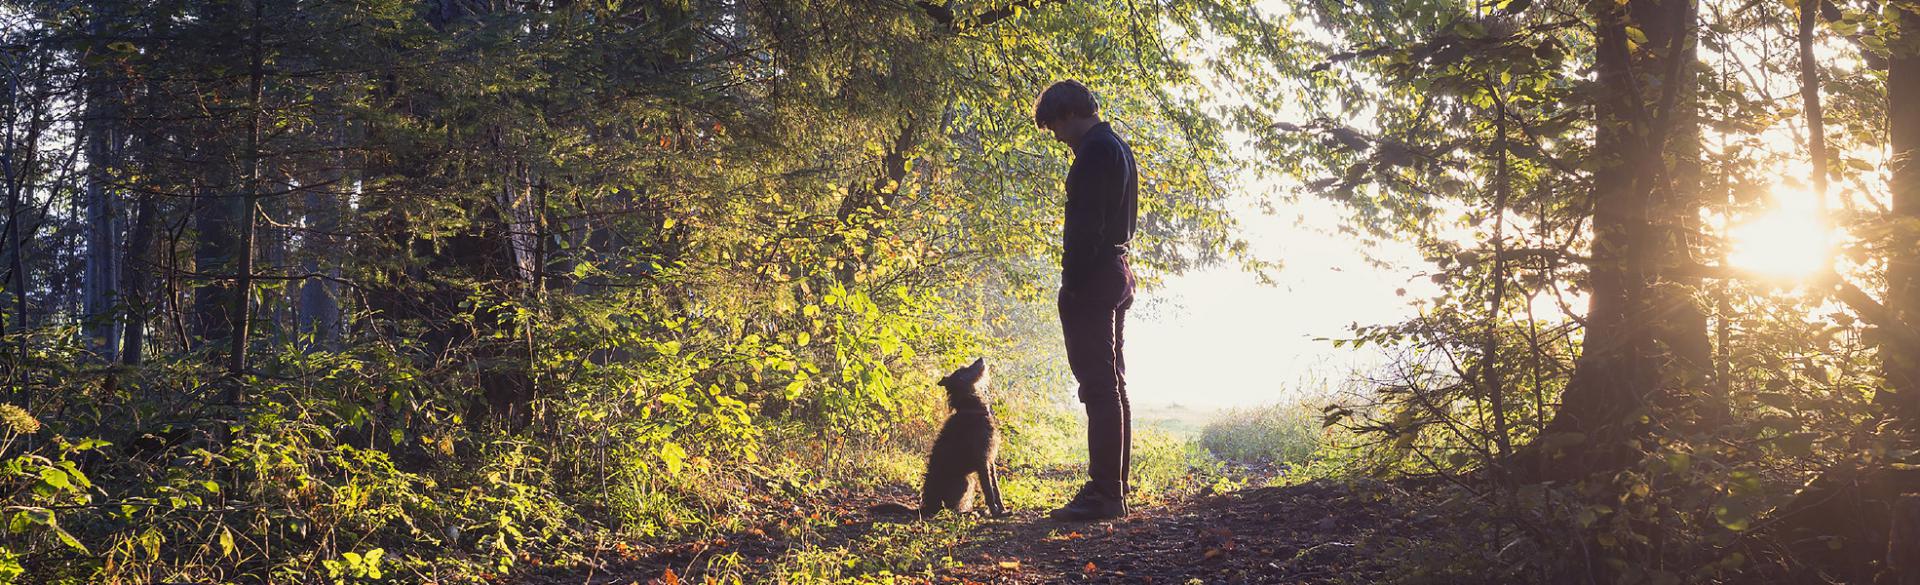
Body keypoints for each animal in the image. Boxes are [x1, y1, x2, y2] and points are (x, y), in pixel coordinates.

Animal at [875, 354, 1013, 514]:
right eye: (964, 369)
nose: (980, 359)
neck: (970, 408)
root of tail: (927, 506)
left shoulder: (989, 460)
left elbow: (996, 488)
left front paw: (1002, 508)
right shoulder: (981, 459)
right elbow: (989, 490)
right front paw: (995, 512)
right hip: (964, 480)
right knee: (948, 508)